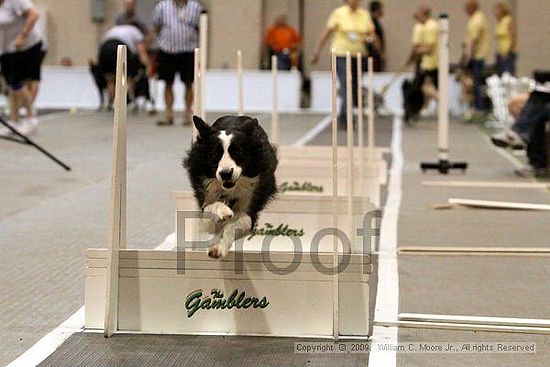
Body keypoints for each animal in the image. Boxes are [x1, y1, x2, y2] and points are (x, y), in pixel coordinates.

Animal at [185, 115, 280, 258]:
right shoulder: (206, 197)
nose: (226, 173)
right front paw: (224, 212)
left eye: (238, 152)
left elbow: (234, 225)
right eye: (215, 154)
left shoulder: (250, 205)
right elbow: (212, 209)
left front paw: (218, 248)